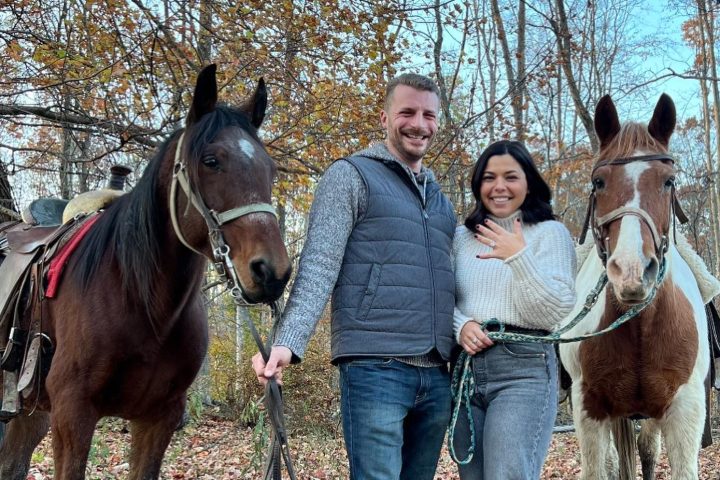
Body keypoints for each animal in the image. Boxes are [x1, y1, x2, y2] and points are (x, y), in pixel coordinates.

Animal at [0, 64, 292, 479]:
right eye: (211, 161)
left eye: (269, 169)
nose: (271, 271)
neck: (143, 303)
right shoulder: (73, 414)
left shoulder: (158, 419)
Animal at [559, 94, 709, 480]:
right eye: (598, 182)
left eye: (669, 181)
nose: (632, 271)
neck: (639, 326)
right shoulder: (590, 409)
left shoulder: (684, 409)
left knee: (646, 450)